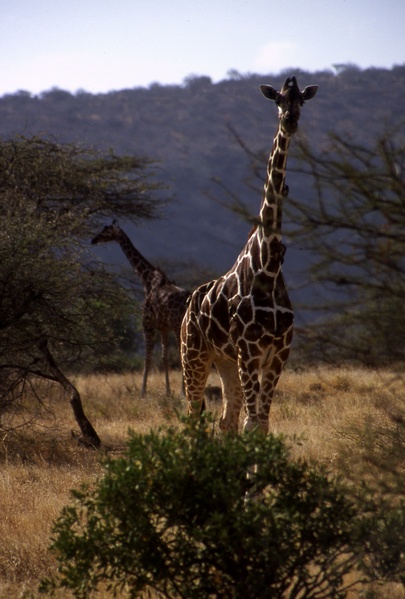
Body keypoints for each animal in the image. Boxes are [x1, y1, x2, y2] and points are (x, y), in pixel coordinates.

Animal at [92, 223, 190, 396]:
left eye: (106, 231)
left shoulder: (147, 324)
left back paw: (183, 392)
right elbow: (164, 357)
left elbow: (148, 358)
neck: (146, 279)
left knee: (183, 354)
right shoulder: (163, 327)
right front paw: (167, 391)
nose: (93, 240)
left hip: (178, 326)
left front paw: (143, 391)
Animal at [180, 76, 316, 436]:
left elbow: (259, 423)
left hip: (226, 361)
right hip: (193, 355)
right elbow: (251, 424)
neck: (268, 264)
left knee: (225, 420)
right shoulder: (250, 349)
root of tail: (187, 308)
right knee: (192, 417)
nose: (290, 121)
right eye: (278, 99)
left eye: (302, 100)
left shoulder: (279, 351)